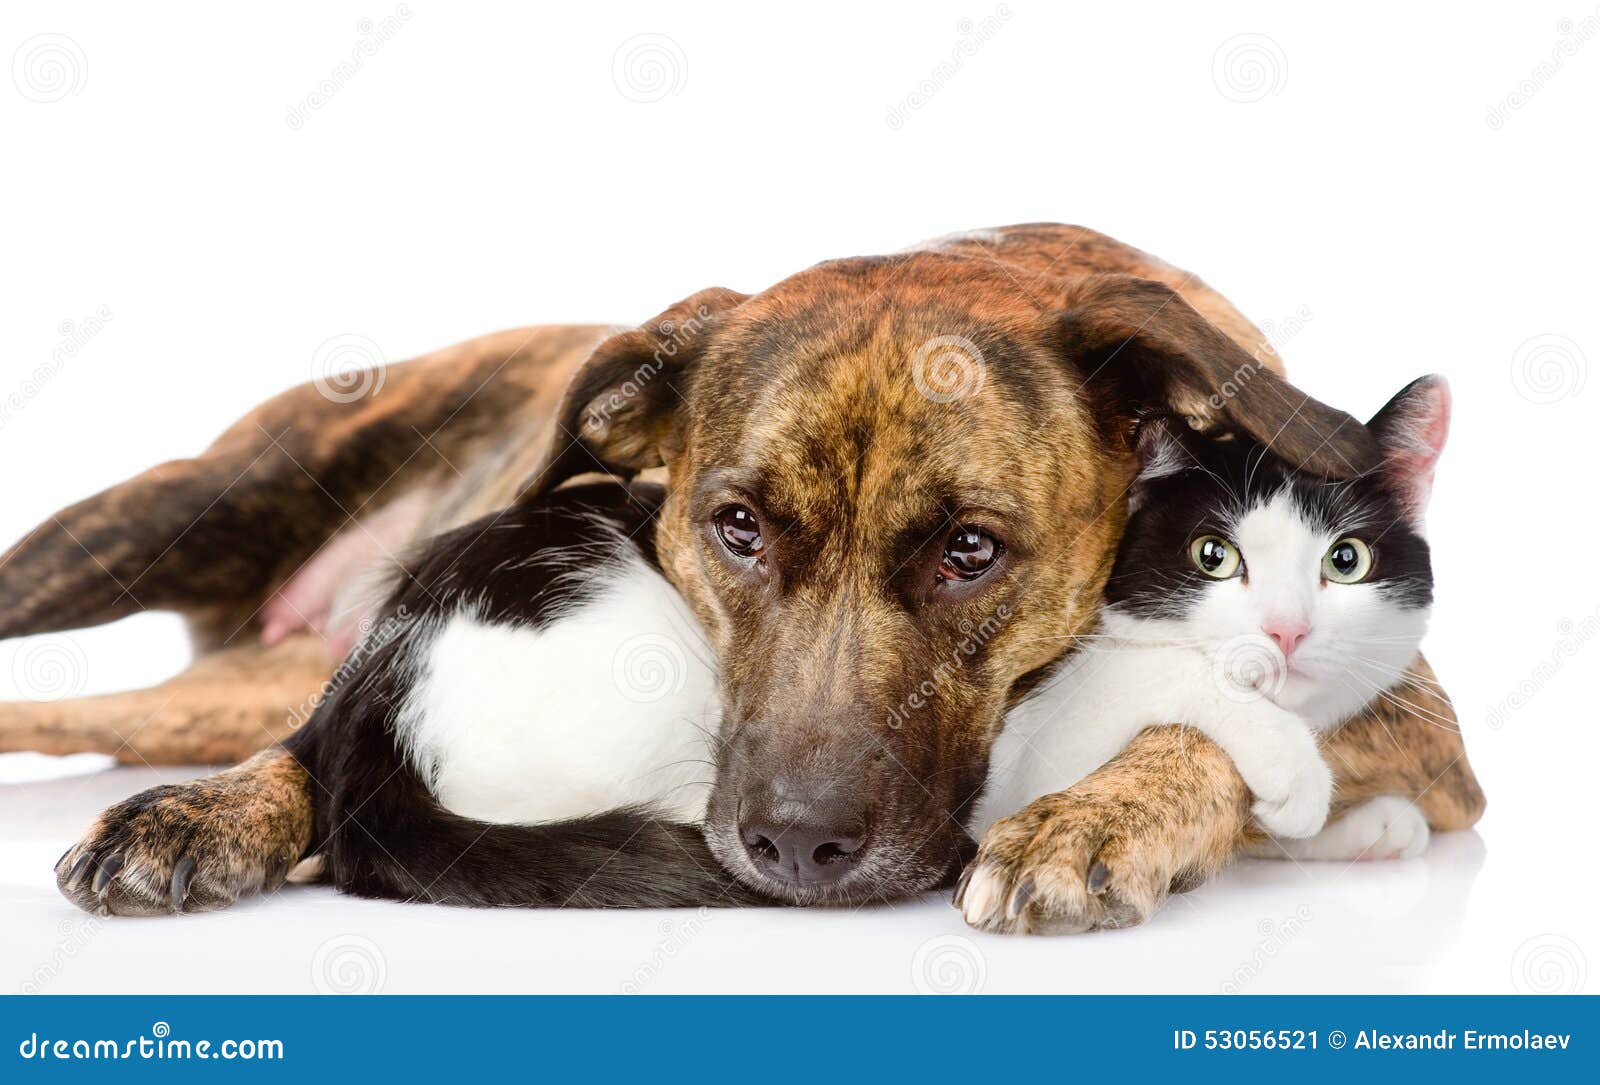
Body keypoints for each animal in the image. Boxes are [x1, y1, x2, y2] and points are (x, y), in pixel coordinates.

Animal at [972, 374, 1452, 876]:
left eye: (1346, 560)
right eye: (1213, 555)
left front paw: (1374, 825)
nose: (1287, 630)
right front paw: (1292, 763)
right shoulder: (1012, 764)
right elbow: (1141, 672)